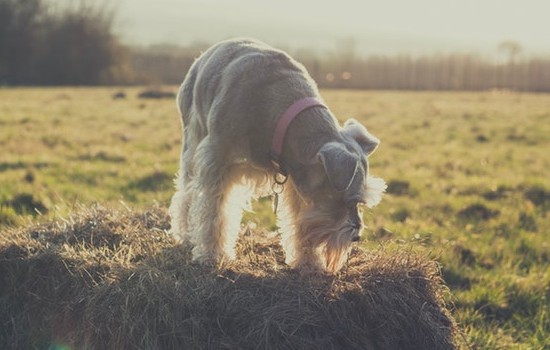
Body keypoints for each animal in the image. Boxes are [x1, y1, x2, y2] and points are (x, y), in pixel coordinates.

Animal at [169, 39, 388, 274]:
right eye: (346, 200)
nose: (356, 237)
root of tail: (205, 54)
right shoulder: (218, 161)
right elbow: (215, 213)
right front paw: (211, 256)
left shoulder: (296, 181)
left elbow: (298, 221)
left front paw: (308, 261)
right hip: (192, 140)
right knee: (186, 192)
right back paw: (186, 233)